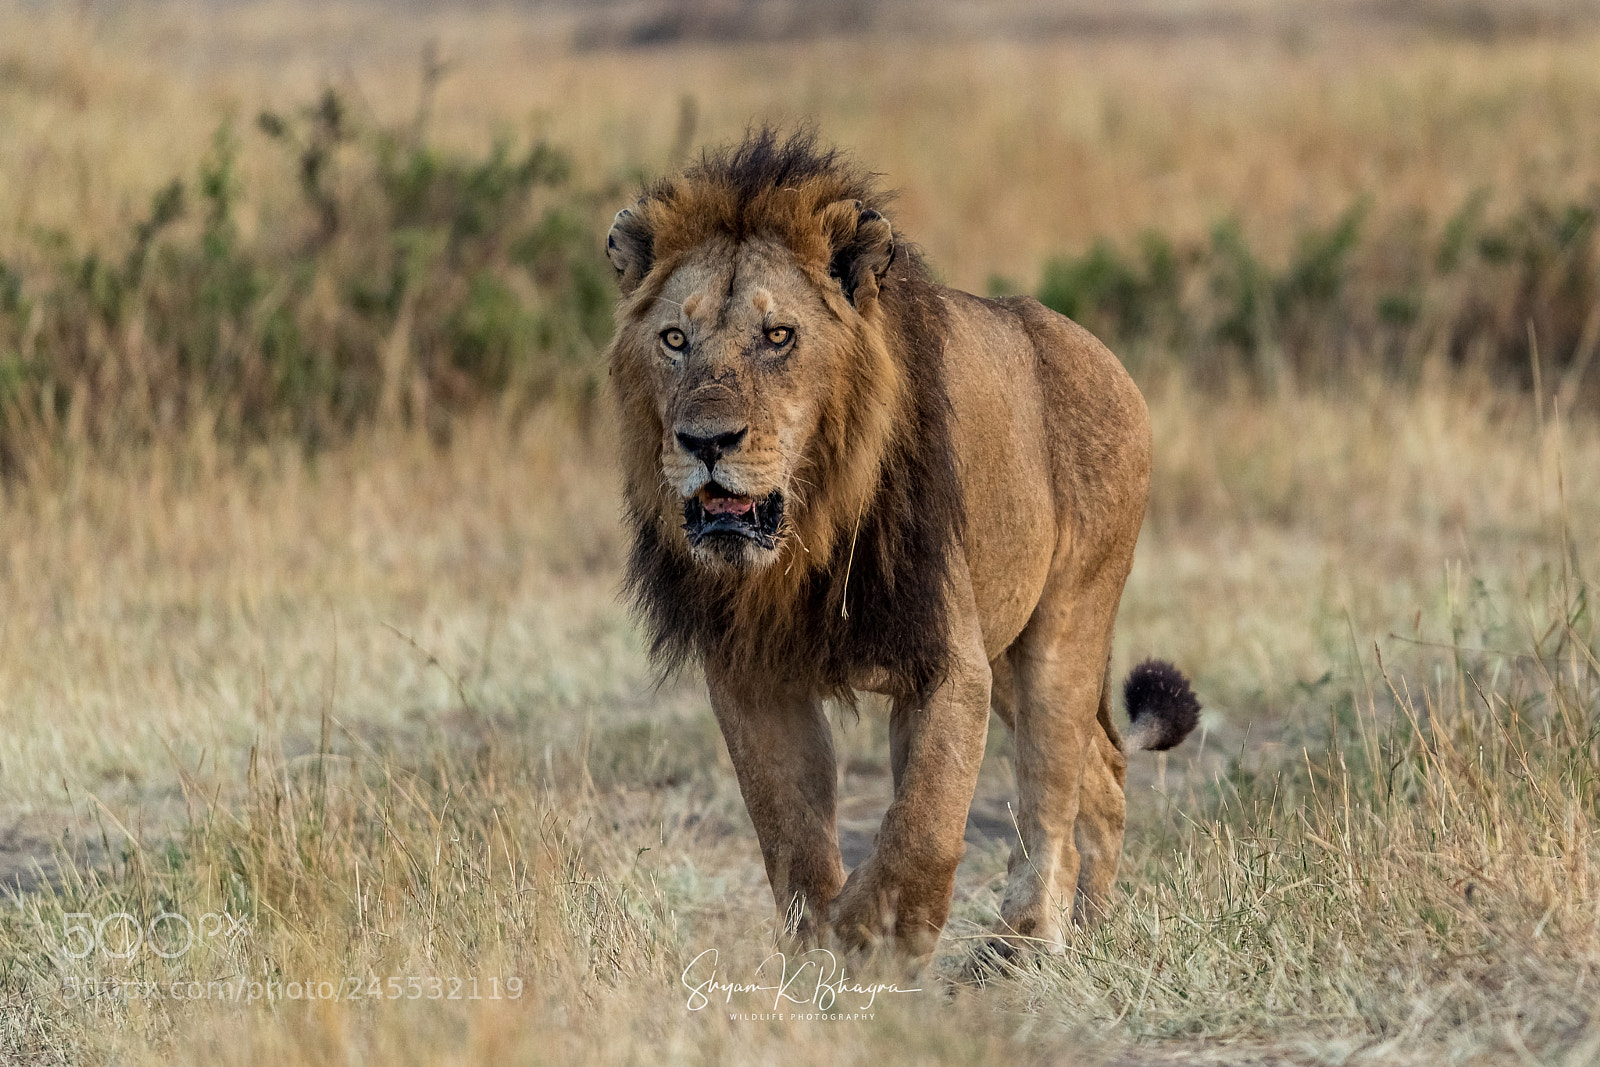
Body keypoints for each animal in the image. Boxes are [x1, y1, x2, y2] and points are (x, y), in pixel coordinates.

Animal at [604, 130, 1200, 960]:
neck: (807, 537)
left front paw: (876, 932)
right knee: (1104, 767)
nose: (706, 441)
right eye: (674, 339)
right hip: (1007, 652)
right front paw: (817, 951)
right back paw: (1088, 926)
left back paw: (1026, 941)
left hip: (1064, 625)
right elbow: (790, 830)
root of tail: (1102, 355)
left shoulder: (947, 660)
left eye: (778, 336)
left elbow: (925, 820)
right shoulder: (752, 673)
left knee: (1050, 791)